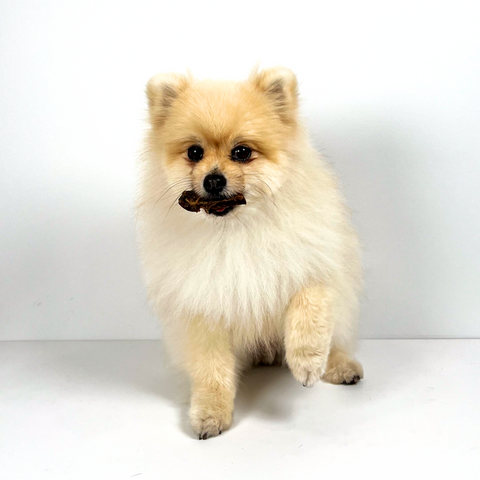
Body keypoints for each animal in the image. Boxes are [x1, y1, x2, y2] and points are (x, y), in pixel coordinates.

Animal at [137, 67, 362, 438]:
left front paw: (307, 361)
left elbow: (309, 304)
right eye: (194, 152)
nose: (213, 179)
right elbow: (211, 368)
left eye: (242, 152)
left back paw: (340, 365)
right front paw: (210, 412)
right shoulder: (203, 306)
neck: (237, 229)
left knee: (338, 336)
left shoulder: (314, 261)